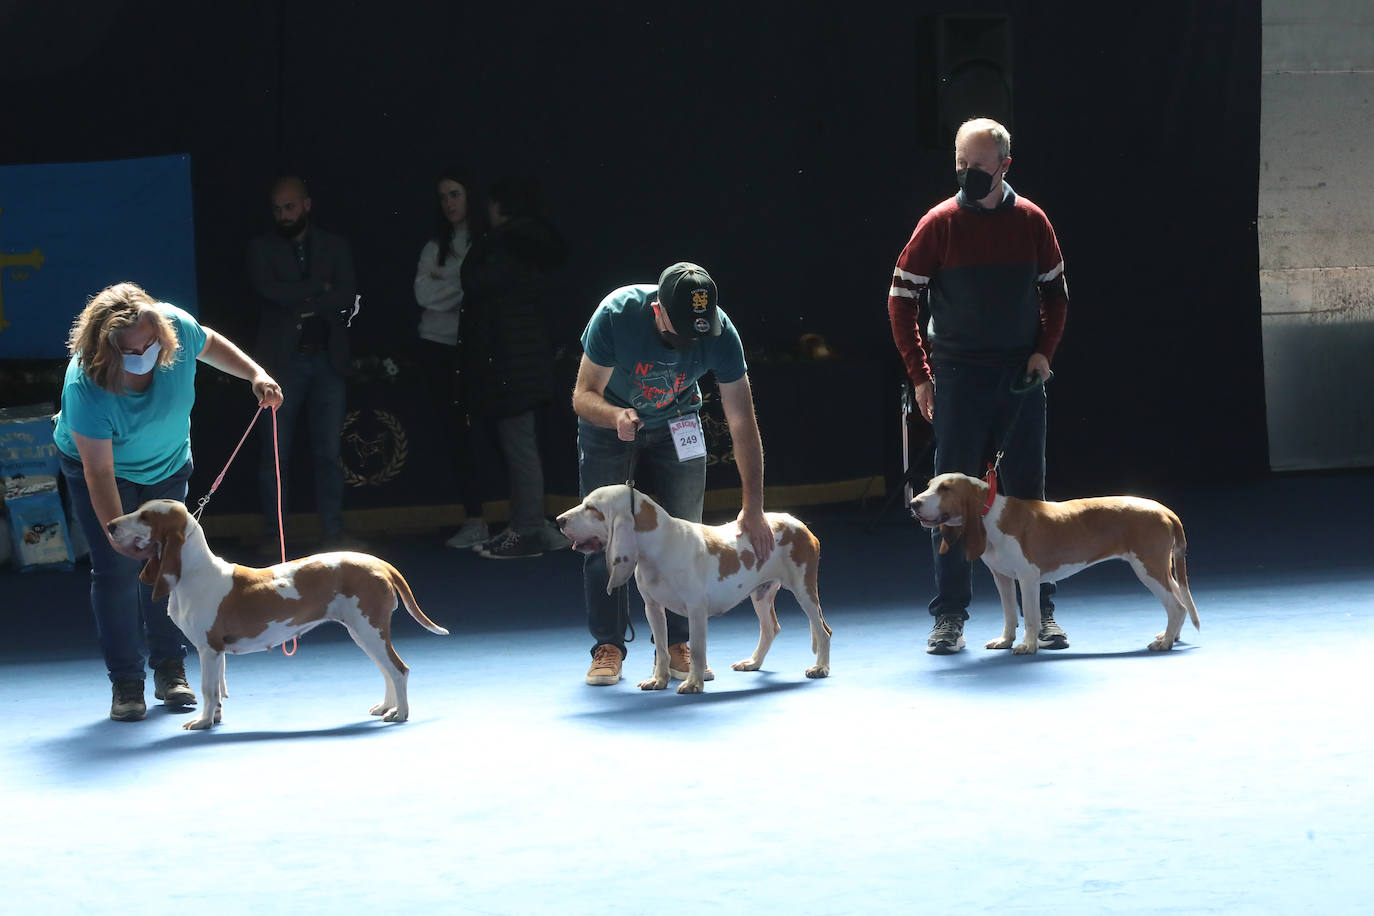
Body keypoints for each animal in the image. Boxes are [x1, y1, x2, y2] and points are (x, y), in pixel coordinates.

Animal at [109, 502, 450, 730]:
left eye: (145, 516)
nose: (110, 525)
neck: (193, 571)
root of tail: (378, 563)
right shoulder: (217, 652)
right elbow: (217, 689)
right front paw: (214, 717)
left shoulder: (208, 649)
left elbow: (208, 689)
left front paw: (203, 722)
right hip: (364, 632)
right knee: (387, 671)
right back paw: (386, 707)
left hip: (369, 630)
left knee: (399, 670)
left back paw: (400, 714)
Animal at [555, 483, 829, 692]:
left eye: (592, 509)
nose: (559, 520)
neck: (659, 545)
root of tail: (799, 524)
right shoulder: (652, 608)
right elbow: (662, 649)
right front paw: (658, 680)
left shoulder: (696, 610)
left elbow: (697, 649)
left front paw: (693, 684)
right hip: (760, 595)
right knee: (771, 629)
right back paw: (752, 663)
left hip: (804, 591)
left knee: (823, 630)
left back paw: (821, 668)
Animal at [917, 472, 1198, 650]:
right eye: (929, 485)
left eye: (945, 489)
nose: (913, 502)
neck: (990, 514)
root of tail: (1165, 510)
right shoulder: (1003, 577)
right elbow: (1009, 614)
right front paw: (1005, 641)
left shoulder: (1028, 578)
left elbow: (1031, 616)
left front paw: (1028, 646)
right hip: (1160, 570)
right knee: (1180, 602)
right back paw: (1172, 636)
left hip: (1148, 568)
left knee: (1177, 607)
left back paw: (1164, 643)